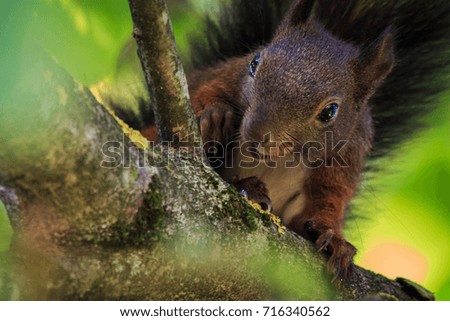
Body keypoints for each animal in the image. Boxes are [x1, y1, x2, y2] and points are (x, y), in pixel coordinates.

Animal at [111, 0, 450, 280]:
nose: (255, 136)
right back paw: (248, 186)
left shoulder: (346, 159)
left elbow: (327, 203)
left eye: (330, 111)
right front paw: (215, 114)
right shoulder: (219, 76)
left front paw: (335, 239)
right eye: (255, 62)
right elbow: (197, 103)